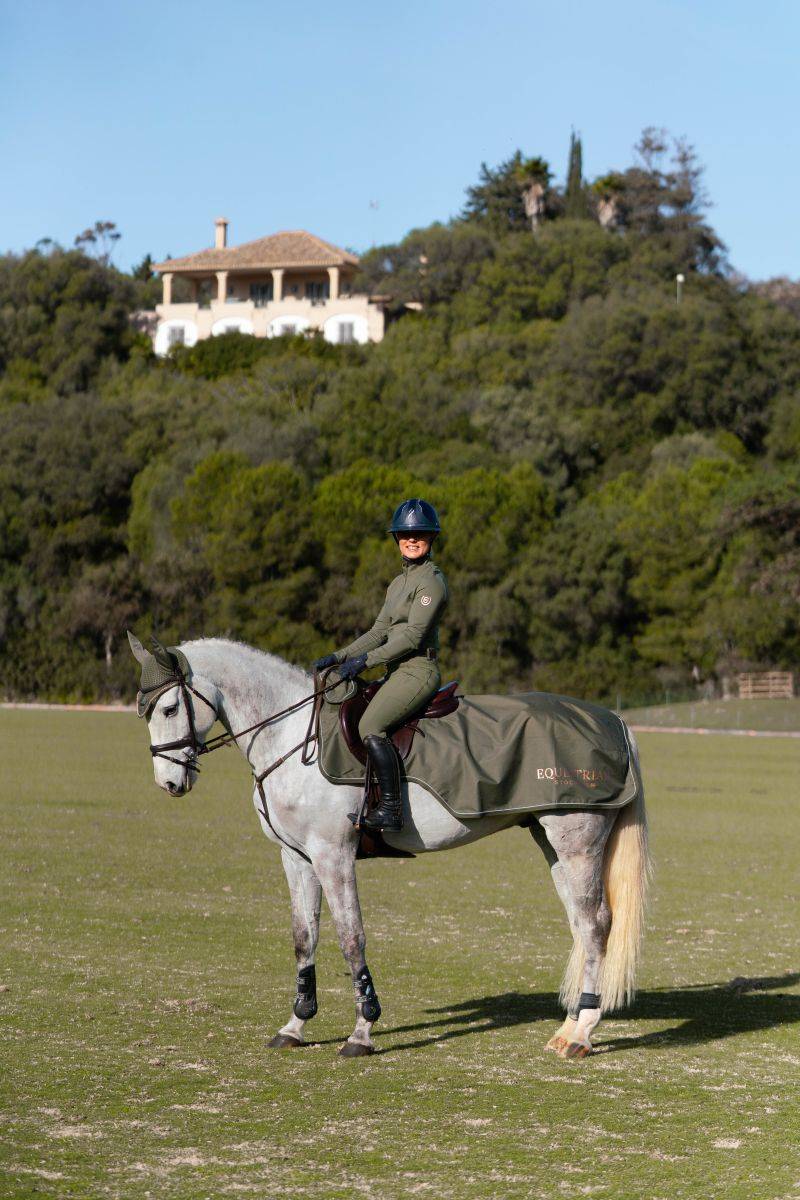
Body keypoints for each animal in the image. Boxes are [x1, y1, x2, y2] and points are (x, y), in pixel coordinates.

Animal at [126, 638, 652, 1060]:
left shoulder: (332, 856)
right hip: (552, 842)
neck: (292, 735)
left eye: (168, 709)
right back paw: (568, 1027)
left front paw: (361, 1032)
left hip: (578, 842)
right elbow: (304, 937)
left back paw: (582, 1034)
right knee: (582, 926)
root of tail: (612, 720)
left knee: (594, 925)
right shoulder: (296, 859)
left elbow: (350, 938)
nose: (169, 783)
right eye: (145, 712)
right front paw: (296, 1024)